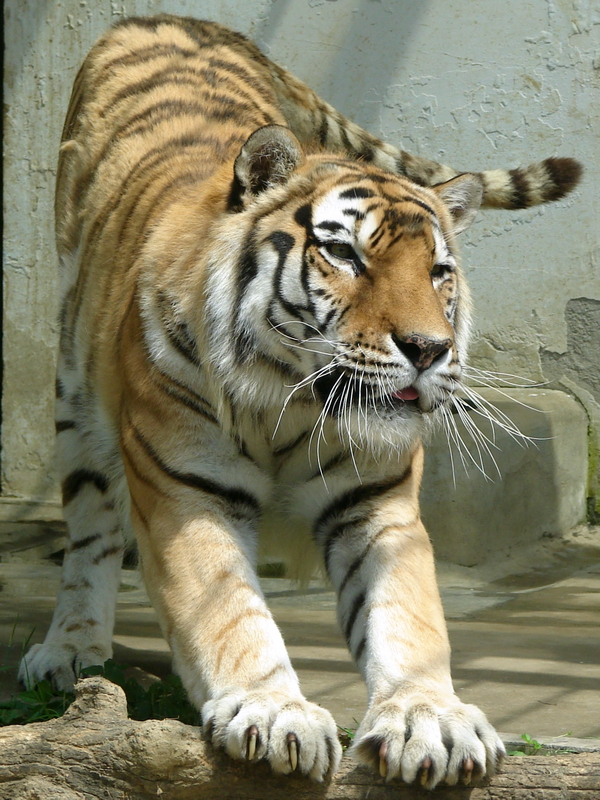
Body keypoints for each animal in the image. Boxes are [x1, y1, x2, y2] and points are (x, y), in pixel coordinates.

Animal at [19, 14, 582, 789]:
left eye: (439, 271)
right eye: (344, 255)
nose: (428, 348)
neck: (290, 402)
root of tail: (175, 19)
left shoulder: (376, 504)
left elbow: (407, 618)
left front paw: (430, 718)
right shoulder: (187, 490)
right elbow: (229, 612)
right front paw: (274, 710)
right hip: (74, 389)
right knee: (89, 527)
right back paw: (70, 648)